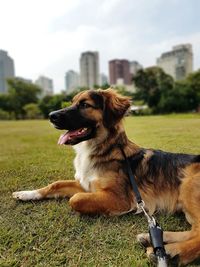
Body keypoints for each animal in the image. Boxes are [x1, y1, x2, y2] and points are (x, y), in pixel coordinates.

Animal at [12, 88, 200, 266]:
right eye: (72, 102)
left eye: (84, 105)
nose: (51, 116)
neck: (102, 149)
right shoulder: (86, 184)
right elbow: (55, 184)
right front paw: (26, 193)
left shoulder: (120, 199)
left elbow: (75, 199)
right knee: (194, 230)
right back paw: (152, 238)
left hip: (188, 186)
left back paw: (171, 253)